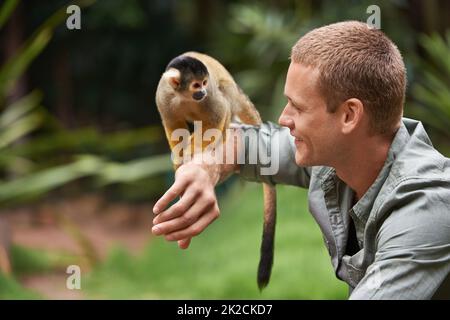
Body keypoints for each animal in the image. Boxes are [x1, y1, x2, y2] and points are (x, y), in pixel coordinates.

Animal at [156, 51, 276, 288]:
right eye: (195, 85)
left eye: (204, 83)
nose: (202, 91)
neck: (183, 96)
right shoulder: (163, 96)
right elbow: (172, 124)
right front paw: (179, 155)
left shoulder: (210, 98)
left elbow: (217, 113)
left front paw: (194, 150)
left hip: (231, 94)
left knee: (225, 98)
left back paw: (225, 131)